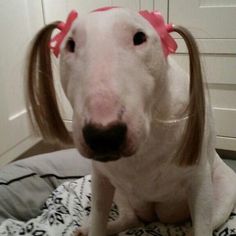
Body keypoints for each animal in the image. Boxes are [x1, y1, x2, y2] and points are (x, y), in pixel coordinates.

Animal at [26, 7, 236, 236]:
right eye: (70, 44)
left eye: (139, 38)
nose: (103, 136)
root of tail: (157, 217)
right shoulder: (101, 179)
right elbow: (98, 216)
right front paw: (94, 226)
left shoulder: (199, 182)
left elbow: (202, 225)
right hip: (120, 191)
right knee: (129, 219)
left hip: (223, 191)